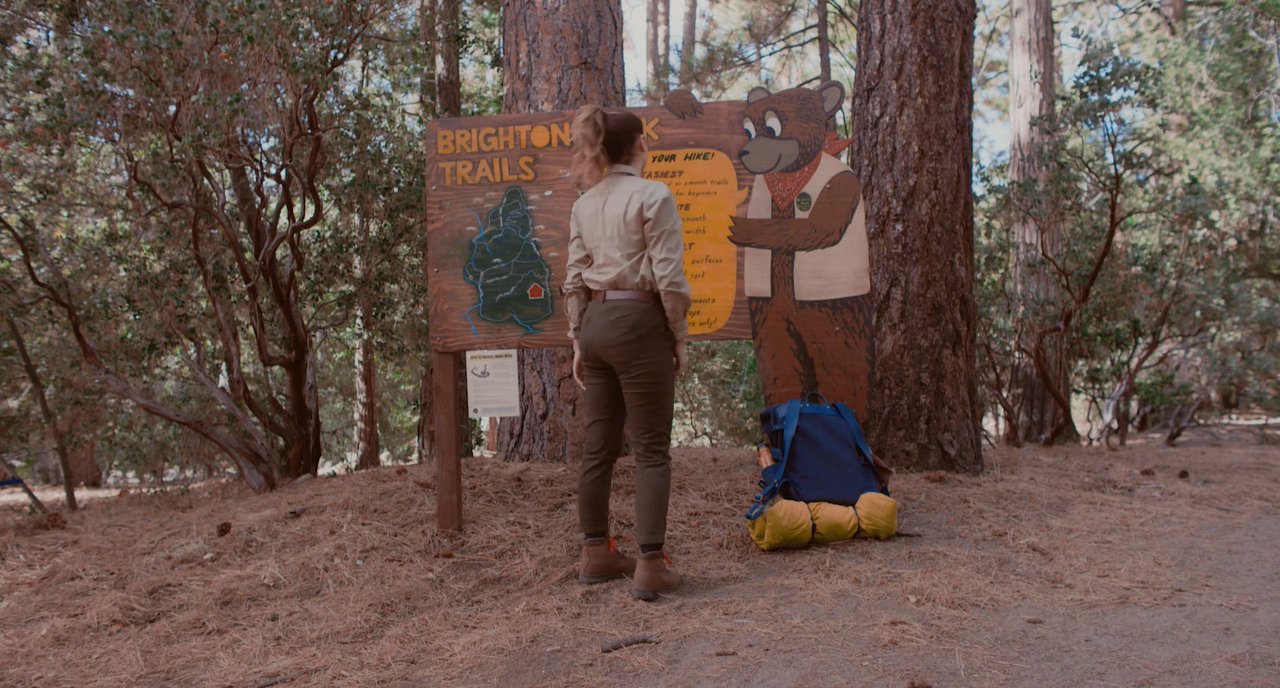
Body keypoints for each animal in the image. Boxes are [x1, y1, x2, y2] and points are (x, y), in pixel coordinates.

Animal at [727, 81, 874, 416]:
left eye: (772, 127)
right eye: (748, 131)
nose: (744, 152)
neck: (790, 177)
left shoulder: (843, 185)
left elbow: (819, 227)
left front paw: (738, 227)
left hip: (833, 313)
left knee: (844, 365)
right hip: (772, 311)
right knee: (779, 357)